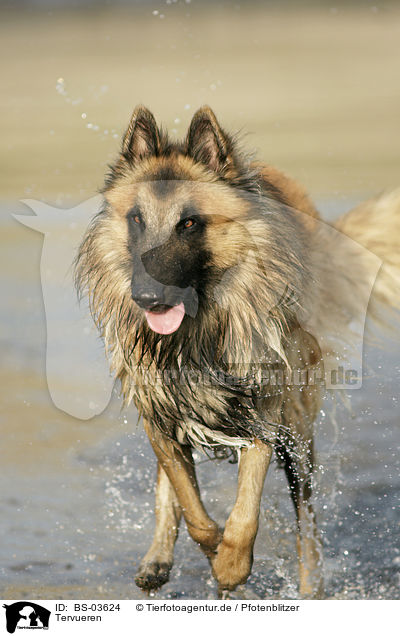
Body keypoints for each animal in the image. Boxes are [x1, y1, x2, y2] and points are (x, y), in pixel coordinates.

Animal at [75, 104, 400, 596]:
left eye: (189, 222)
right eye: (136, 220)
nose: (147, 299)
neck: (200, 333)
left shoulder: (265, 416)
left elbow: (245, 514)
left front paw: (230, 565)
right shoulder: (161, 414)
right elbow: (192, 510)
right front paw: (215, 557)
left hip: (298, 434)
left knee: (307, 521)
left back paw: (310, 588)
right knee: (170, 485)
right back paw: (158, 557)